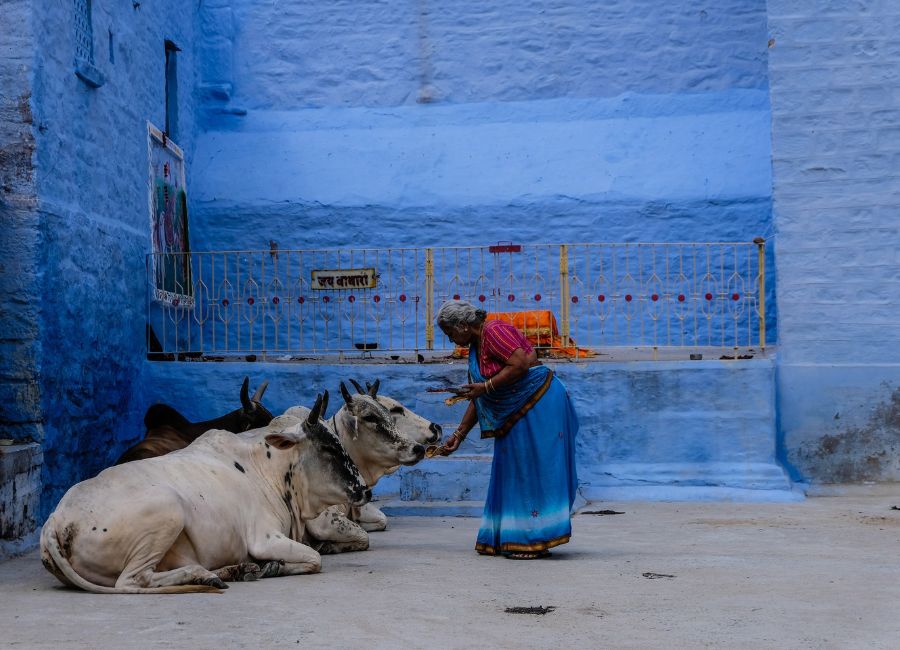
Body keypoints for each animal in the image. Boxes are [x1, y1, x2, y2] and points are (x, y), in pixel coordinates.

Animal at [40, 394, 370, 592]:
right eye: (328, 448)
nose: (364, 489)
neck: (269, 470)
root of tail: (55, 520)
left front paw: (267, 567)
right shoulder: (264, 538)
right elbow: (314, 558)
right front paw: (274, 567)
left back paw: (233, 570)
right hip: (169, 510)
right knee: (132, 581)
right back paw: (203, 575)